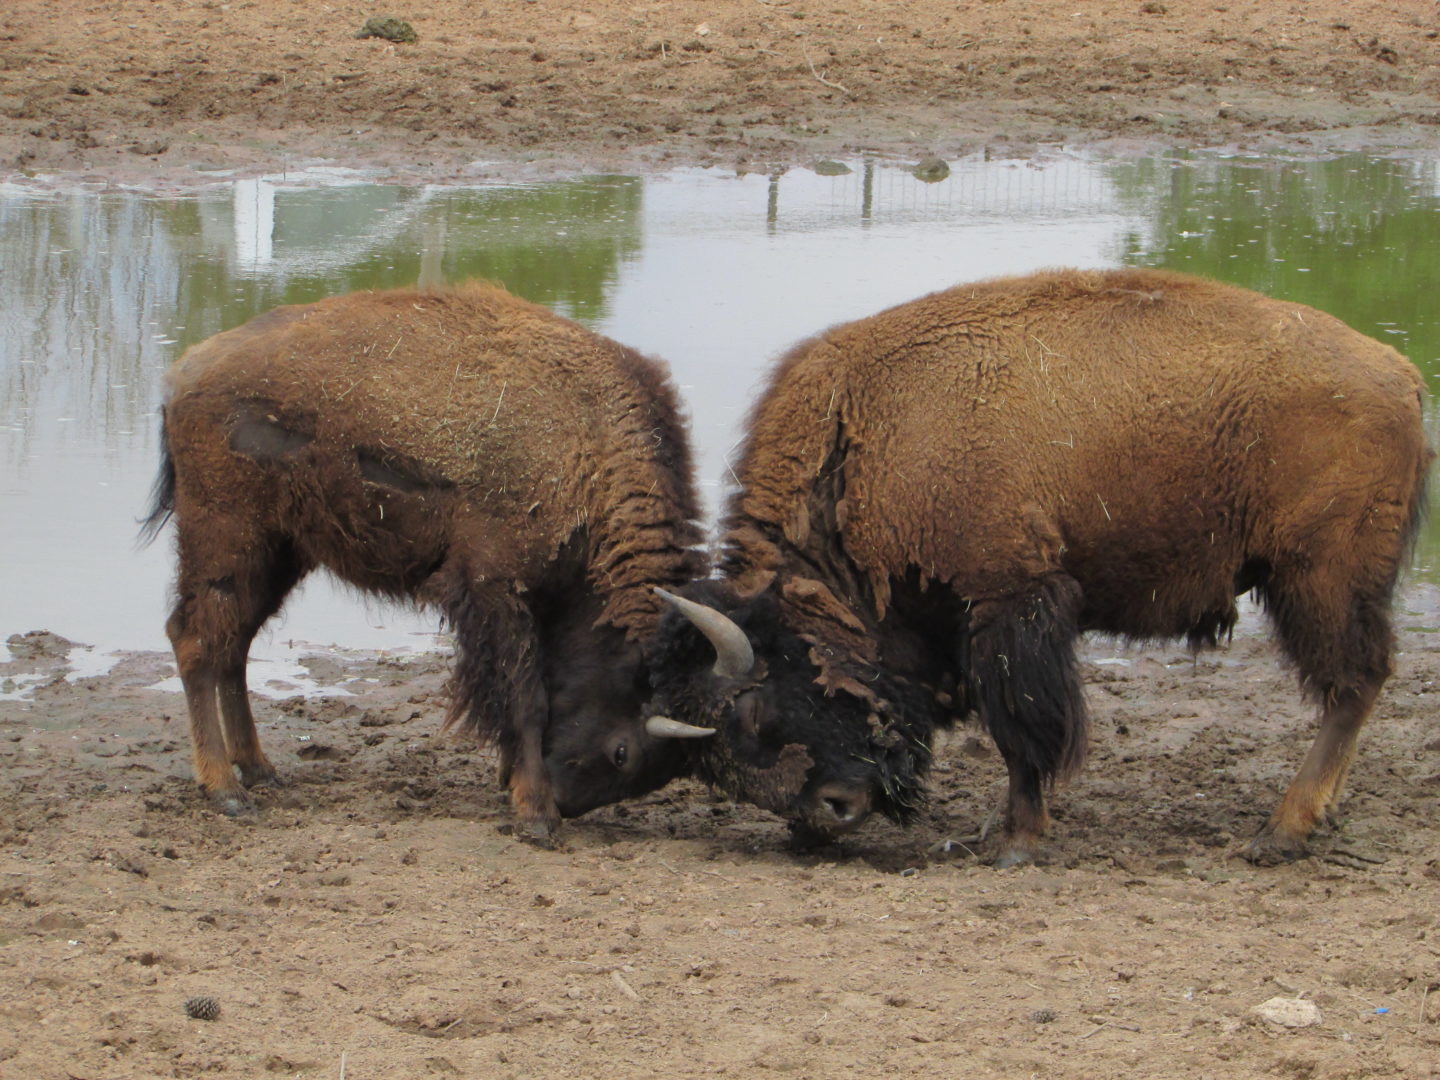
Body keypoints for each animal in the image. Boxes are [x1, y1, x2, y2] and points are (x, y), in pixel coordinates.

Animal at [140, 283, 714, 840]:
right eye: (623, 752)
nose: (567, 803)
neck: (589, 444)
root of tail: (184, 374)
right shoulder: (495, 587)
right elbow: (525, 699)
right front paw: (535, 816)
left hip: (278, 555)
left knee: (232, 646)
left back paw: (260, 769)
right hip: (226, 539)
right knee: (194, 641)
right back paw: (227, 791)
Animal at [648, 266, 1434, 869]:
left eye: (753, 711)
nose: (828, 813)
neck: (862, 446)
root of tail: (1400, 373)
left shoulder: (1009, 602)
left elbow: (1022, 732)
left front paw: (1018, 842)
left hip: (1318, 576)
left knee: (1353, 682)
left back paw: (1282, 831)